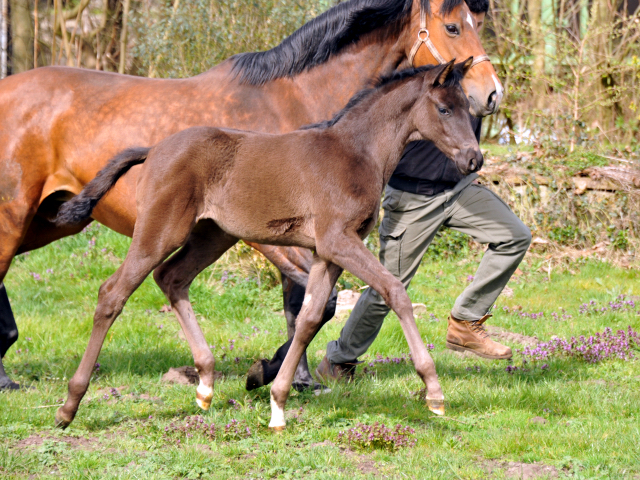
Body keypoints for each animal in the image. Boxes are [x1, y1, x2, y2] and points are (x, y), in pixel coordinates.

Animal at [0, 0, 500, 390]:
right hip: (26, 217)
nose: (491, 94)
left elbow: (308, 307)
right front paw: (271, 372)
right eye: (453, 26)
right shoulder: (273, 238)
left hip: (52, 221)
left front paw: (293, 378)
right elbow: (318, 303)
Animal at [57, 58, 482, 430]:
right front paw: (434, 391)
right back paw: (69, 406)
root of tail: (154, 149)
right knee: (113, 293)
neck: (356, 152)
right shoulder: (338, 240)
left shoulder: (327, 252)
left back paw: (205, 385)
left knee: (172, 278)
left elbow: (309, 317)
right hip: (160, 231)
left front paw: (277, 403)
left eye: (469, 108)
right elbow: (394, 291)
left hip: (213, 234)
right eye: (444, 109)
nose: (474, 159)